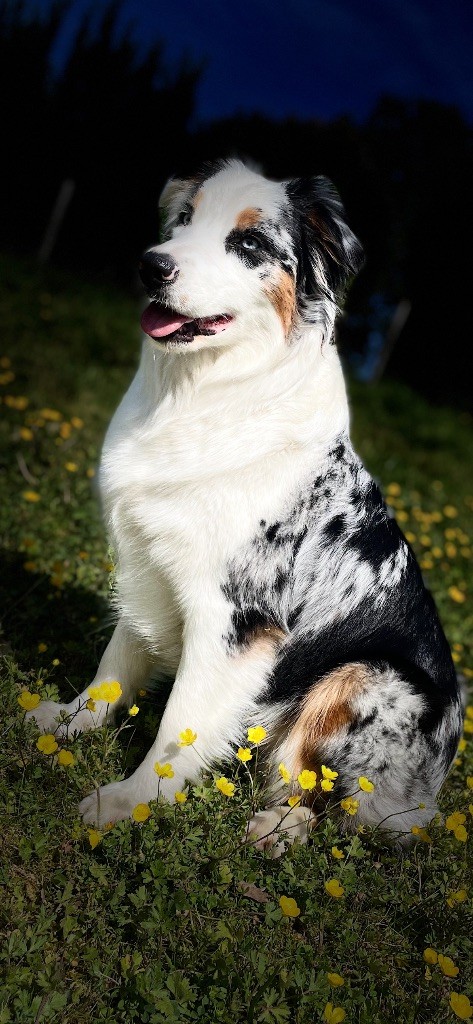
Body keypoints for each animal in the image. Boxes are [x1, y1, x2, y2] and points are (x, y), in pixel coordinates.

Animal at [29, 159, 462, 847]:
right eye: (183, 220)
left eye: (250, 244)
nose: (152, 265)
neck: (202, 391)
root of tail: (431, 794)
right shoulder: (149, 562)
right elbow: (115, 664)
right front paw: (67, 726)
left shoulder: (237, 616)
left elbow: (179, 726)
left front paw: (130, 801)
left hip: (367, 678)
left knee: (324, 797)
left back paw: (276, 831)